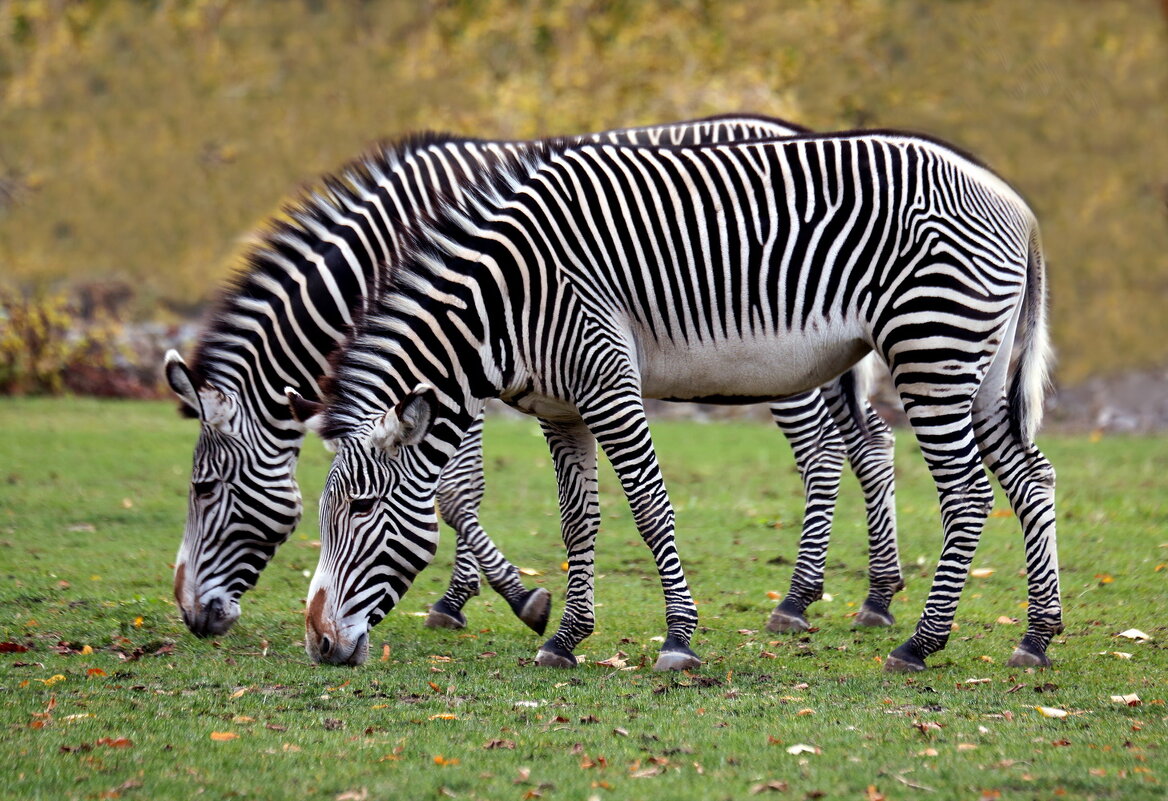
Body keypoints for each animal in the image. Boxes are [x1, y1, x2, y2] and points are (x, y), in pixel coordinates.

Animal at [162, 113, 892, 639]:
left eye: (203, 488)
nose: (194, 618)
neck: (387, 243)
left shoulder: (454, 367)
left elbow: (458, 493)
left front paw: (509, 600)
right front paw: (477, 599)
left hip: (781, 363)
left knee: (824, 453)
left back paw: (796, 600)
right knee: (872, 444)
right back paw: (876, 598)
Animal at [299, 128, 1060, 672]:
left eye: (360, 508)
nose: (318, 643)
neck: (507, 301)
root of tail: (1016, 204)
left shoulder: (607, 382)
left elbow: (649, 508)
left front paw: (678, 638)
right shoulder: (560, 410)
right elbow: (579, 523)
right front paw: (565, 637)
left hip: (933, 348)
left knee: (966, 493)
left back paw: (920, 644)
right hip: (978, 367)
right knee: (1031, 478)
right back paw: (1035, 636)